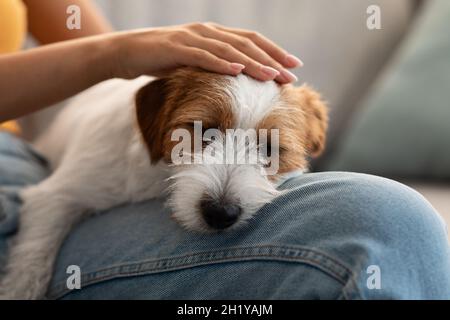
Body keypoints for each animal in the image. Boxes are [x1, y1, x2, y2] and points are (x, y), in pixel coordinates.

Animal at [0, 66, 326, 298]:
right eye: (203, 129)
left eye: (270, 148)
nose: (220, 213)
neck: (156, 175)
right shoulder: (56, 196)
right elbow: (31, 262)